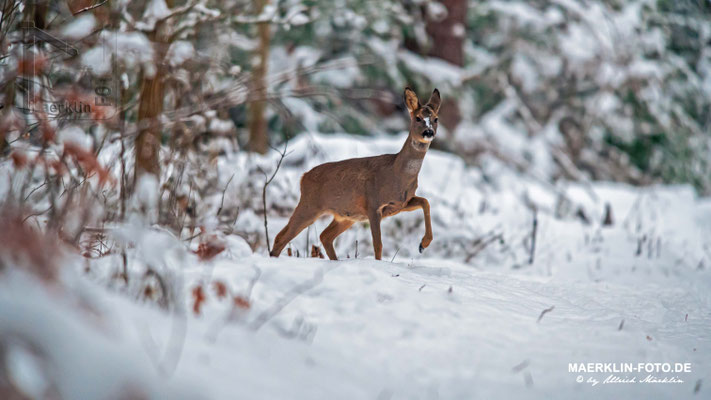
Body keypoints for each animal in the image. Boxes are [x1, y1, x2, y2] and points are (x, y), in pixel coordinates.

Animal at [272, 87, 442, 260]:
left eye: (435, 119)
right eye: (418, 118)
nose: (428, 132)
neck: (397, 174)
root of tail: (303, 177)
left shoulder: (400, 204)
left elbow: (425, 202)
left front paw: (423, 244)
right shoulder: (373, 204)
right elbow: (378, 245)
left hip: (346, 216)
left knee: (324, 236)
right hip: (310, 205)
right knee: (282, 236)